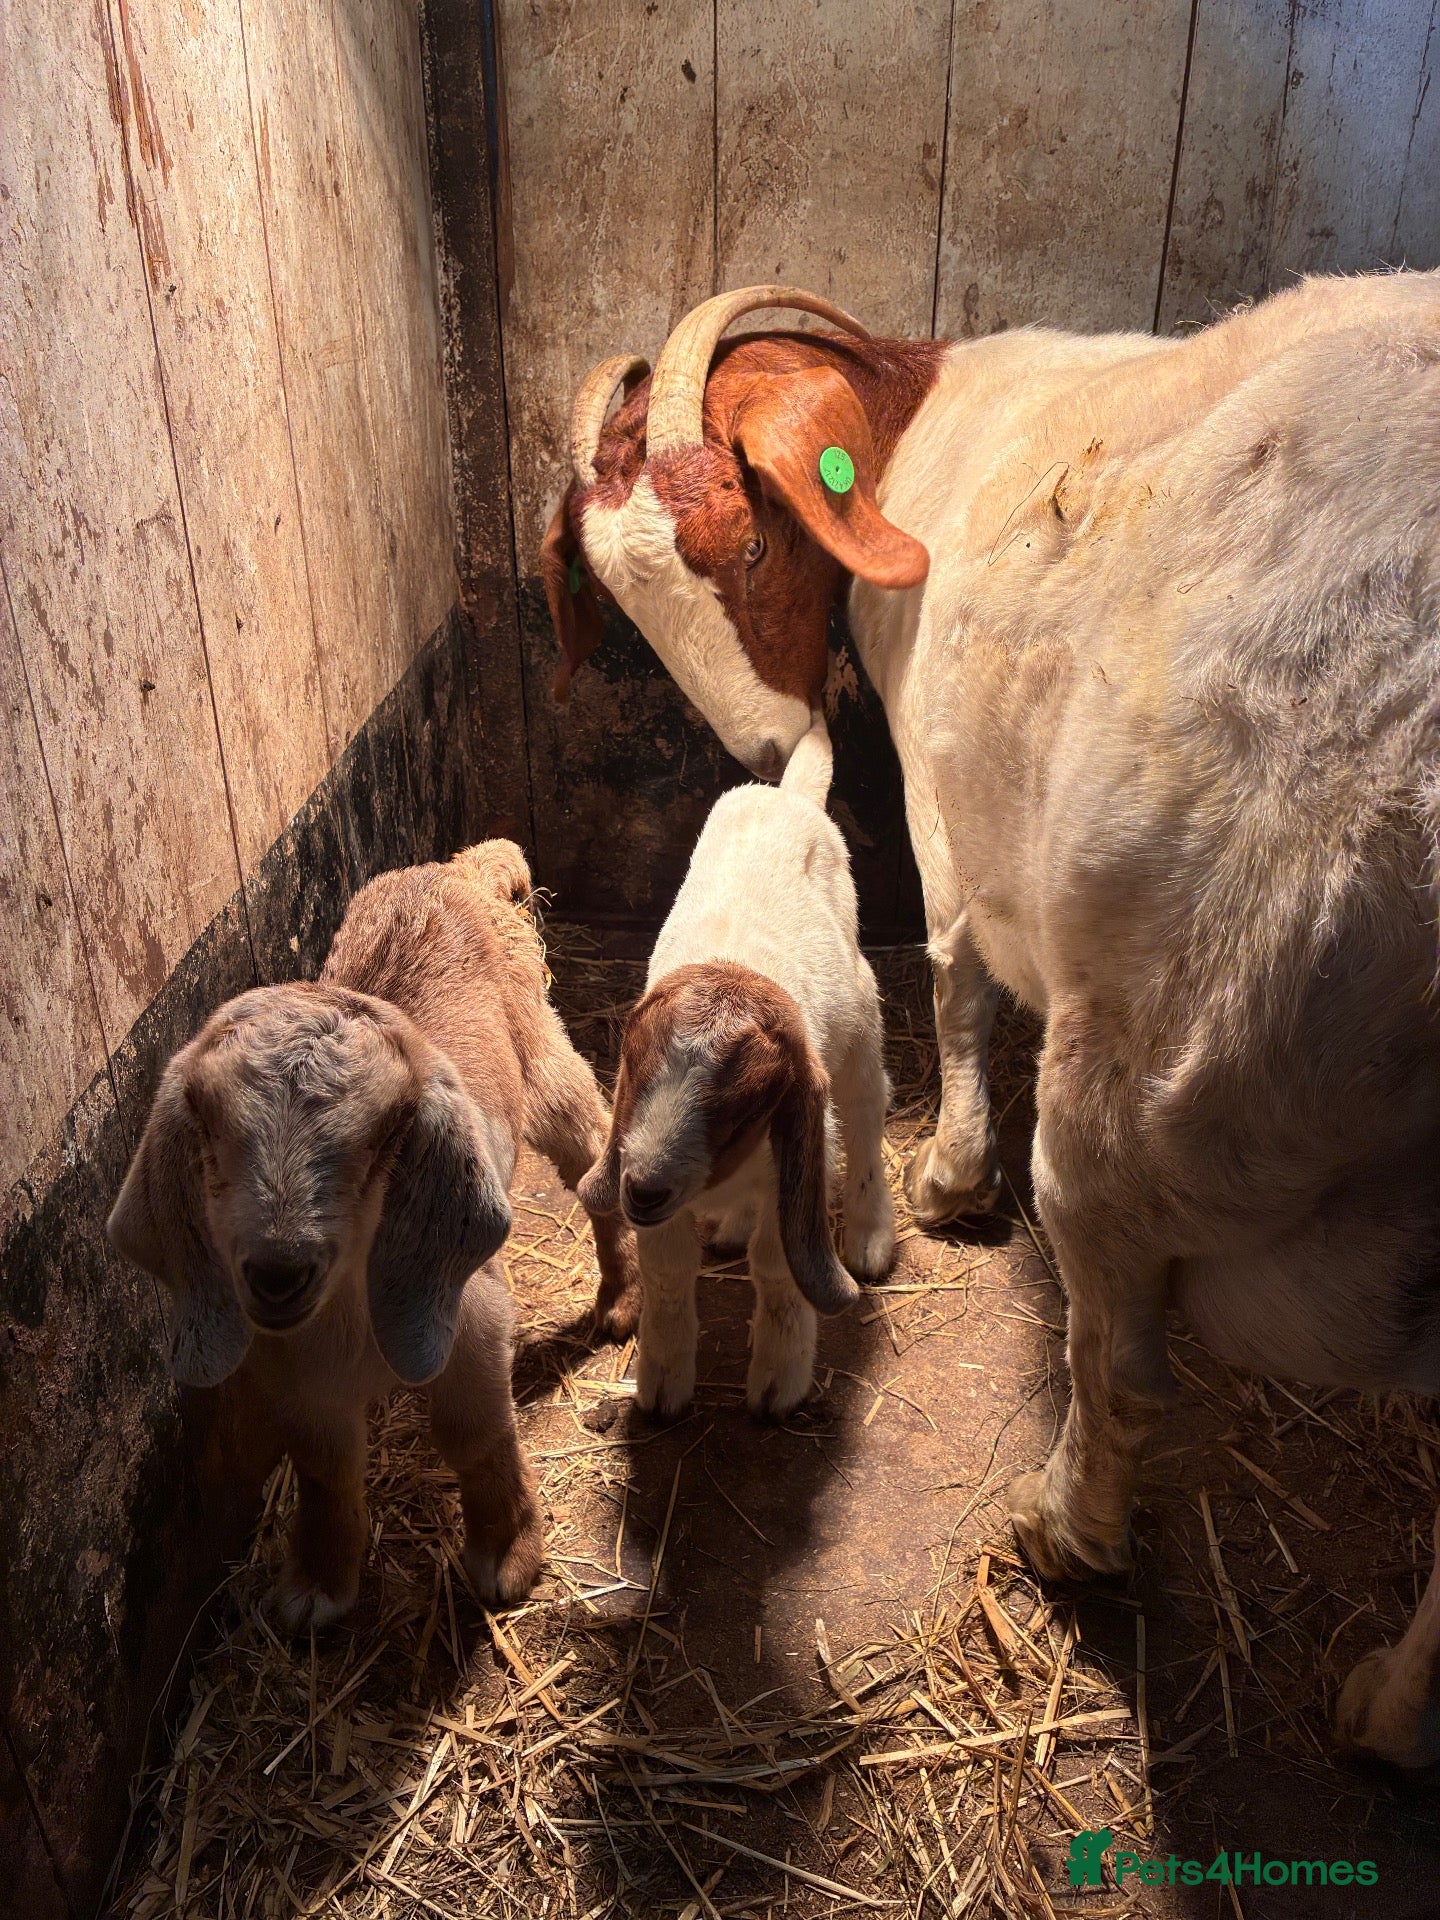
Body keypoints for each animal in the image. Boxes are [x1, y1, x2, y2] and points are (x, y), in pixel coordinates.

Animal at [108, 842, 641, 1628]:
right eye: (215, 1141)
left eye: (380, 1141)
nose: (278, 1271)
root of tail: (455, 866)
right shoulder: (292, 1371)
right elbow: (325, 1469)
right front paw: (319, 1582)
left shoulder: (473, 1316)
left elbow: (475, 1434)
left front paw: (509, 1552)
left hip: (544, 1056)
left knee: (595, 1153)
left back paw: (623, 1300)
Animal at [578, 722, 895, 1420]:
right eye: (636, 1069)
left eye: (746, 1105)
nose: (642, 1190)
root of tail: (788, 796)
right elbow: (668, 1274)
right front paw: (662, 1383)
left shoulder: (798, 1166)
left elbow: (778, 1274)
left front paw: (778, 1384)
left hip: (861, 1017)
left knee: (867, 1108)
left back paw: (870, 1236)